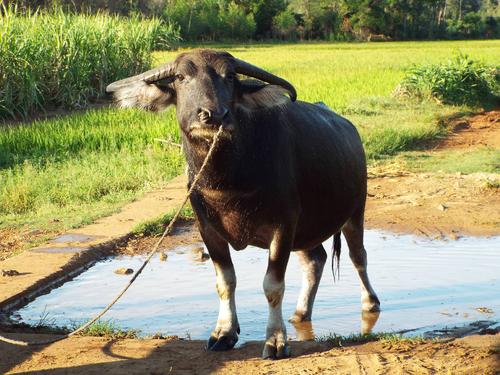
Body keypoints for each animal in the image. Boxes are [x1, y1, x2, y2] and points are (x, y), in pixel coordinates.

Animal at [105, 48, 378, 360]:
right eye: (181, 77)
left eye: (230, 77)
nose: (212, 115)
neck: (228, 181)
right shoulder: (207, 229)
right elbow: (225, 282)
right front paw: (224, 332)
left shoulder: (283, 225)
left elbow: (273, 285)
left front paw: (275, 340)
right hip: (307, 228)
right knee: (315, 260)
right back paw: (300, 313)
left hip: (355, 211)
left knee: (358, 256)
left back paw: (370, 303)